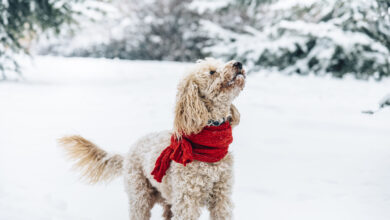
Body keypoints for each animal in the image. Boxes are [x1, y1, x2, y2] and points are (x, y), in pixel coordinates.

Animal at [58, 58, 244, 220]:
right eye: (212, 72)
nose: (239, 63)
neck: (211, 142)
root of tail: (128, 154)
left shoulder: (222, 197)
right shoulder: (186, 200)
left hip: (167, 199)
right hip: (140, 196)